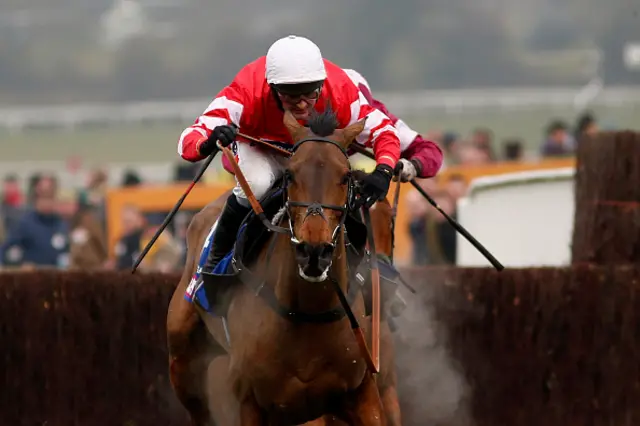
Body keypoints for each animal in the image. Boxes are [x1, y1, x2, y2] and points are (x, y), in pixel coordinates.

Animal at [166, 107, 396, 426]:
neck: (308, 313)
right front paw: (217, 133)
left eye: (345, 176)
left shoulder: (363, 392)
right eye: (290, 174)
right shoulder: (251, 402)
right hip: (183, 361)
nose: (314, 251)